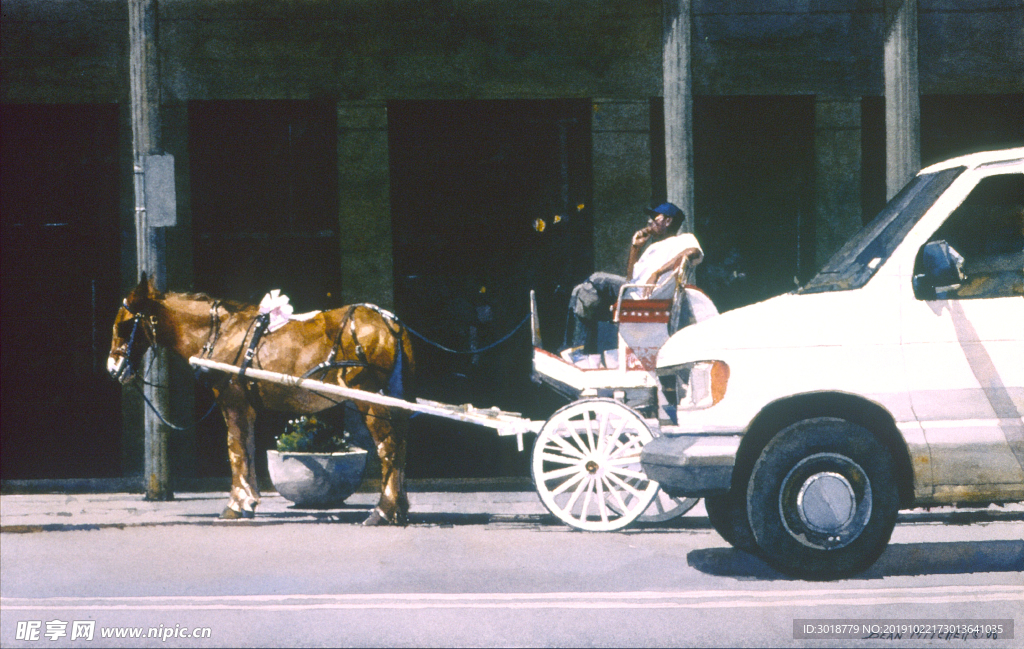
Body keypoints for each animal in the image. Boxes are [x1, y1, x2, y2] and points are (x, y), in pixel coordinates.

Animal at [108, 276, 415, 524]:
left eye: (124, 325)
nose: (113, 368)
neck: (220, 333)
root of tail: (390, 322)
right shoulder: (246, 406)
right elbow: (247, 447)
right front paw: (249, 500)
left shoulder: (232, 400)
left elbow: (235, 449)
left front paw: (236, 504)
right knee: (399, 445)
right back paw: (398, 509)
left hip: (370, 398)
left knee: (388, 447)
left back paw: (383, 512)